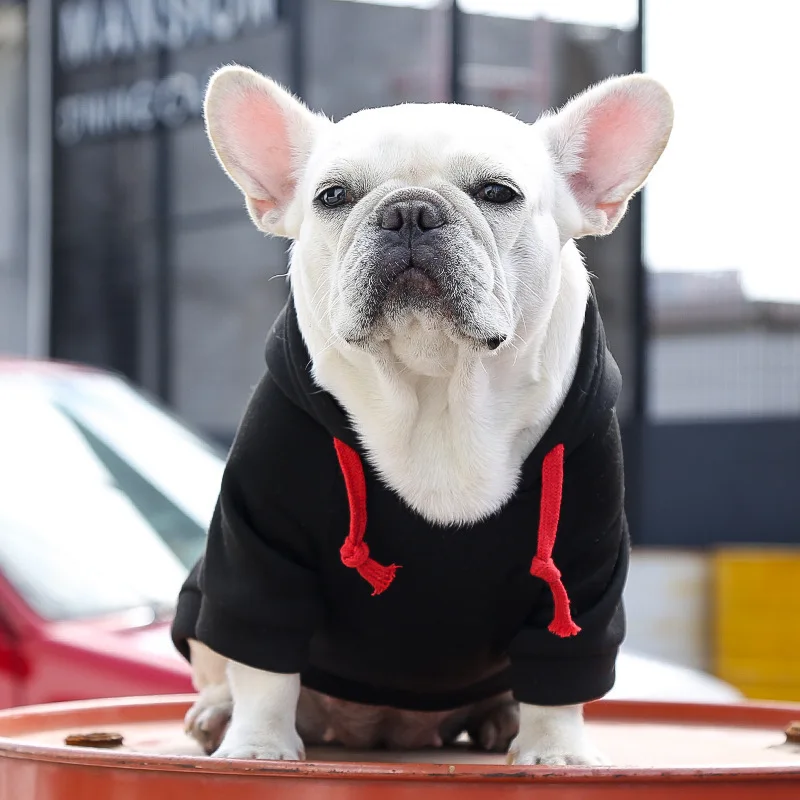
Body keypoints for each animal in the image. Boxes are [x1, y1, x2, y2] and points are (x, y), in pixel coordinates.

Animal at [172, 65, 672, 764]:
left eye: (497, 192)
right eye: (332, 196)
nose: (409, 211)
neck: (435, 386)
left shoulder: (581, 560)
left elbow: (561, 667)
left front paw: (555, 752)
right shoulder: (258, 541)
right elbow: (263, 658)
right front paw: (257, 748)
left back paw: (503, 720)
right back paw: (219, 717)